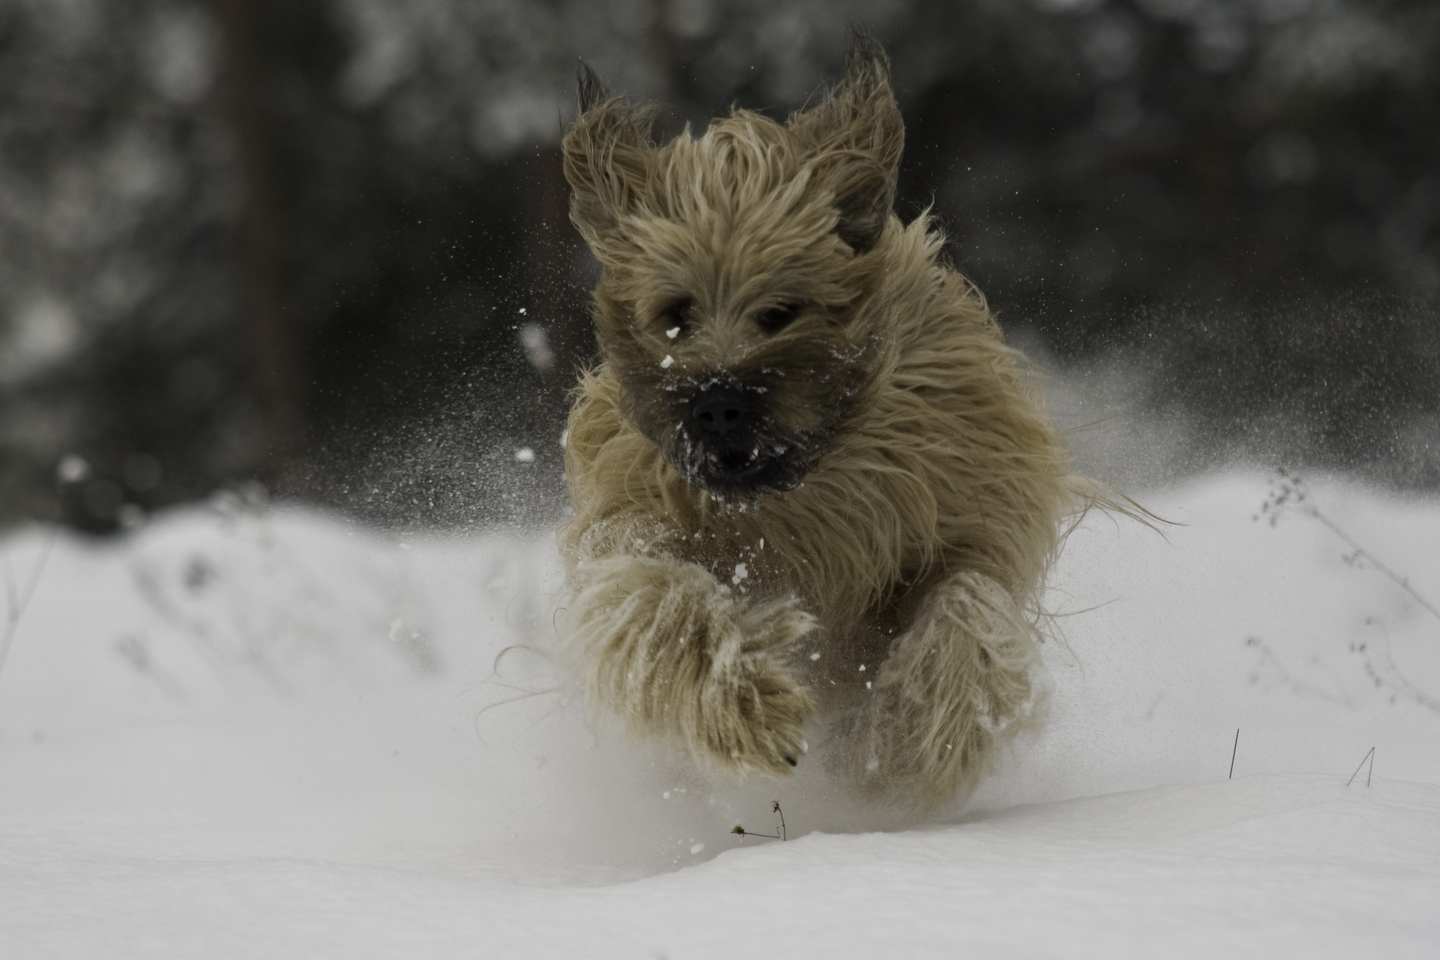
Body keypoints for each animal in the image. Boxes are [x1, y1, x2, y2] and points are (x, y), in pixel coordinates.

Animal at [552, 33, 1088, 805]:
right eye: (677, 313)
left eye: (782, 311)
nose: (718, 406)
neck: (803, 490)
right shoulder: (634, 517)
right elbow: (659, 596)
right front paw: (748, 702)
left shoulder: (970, 506)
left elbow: (965, 604)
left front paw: (909, 740)